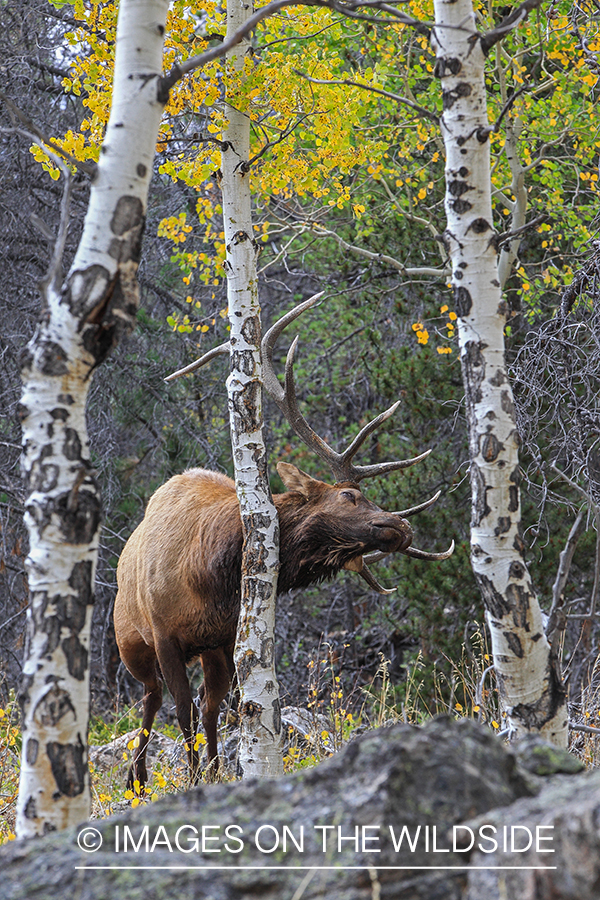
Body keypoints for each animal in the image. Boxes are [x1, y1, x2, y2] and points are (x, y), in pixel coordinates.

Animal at [112, 296, 452, 788]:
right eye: (349, 495)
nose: (399, 527)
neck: (208, 574)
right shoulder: (164, 635)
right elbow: (183, 712)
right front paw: (192, 779)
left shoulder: (225, 636)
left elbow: (225, 709)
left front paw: (215, 772)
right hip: (130, 643)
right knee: (152, 696)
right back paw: (136, 777)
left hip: (203, 651)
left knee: (202, 705)